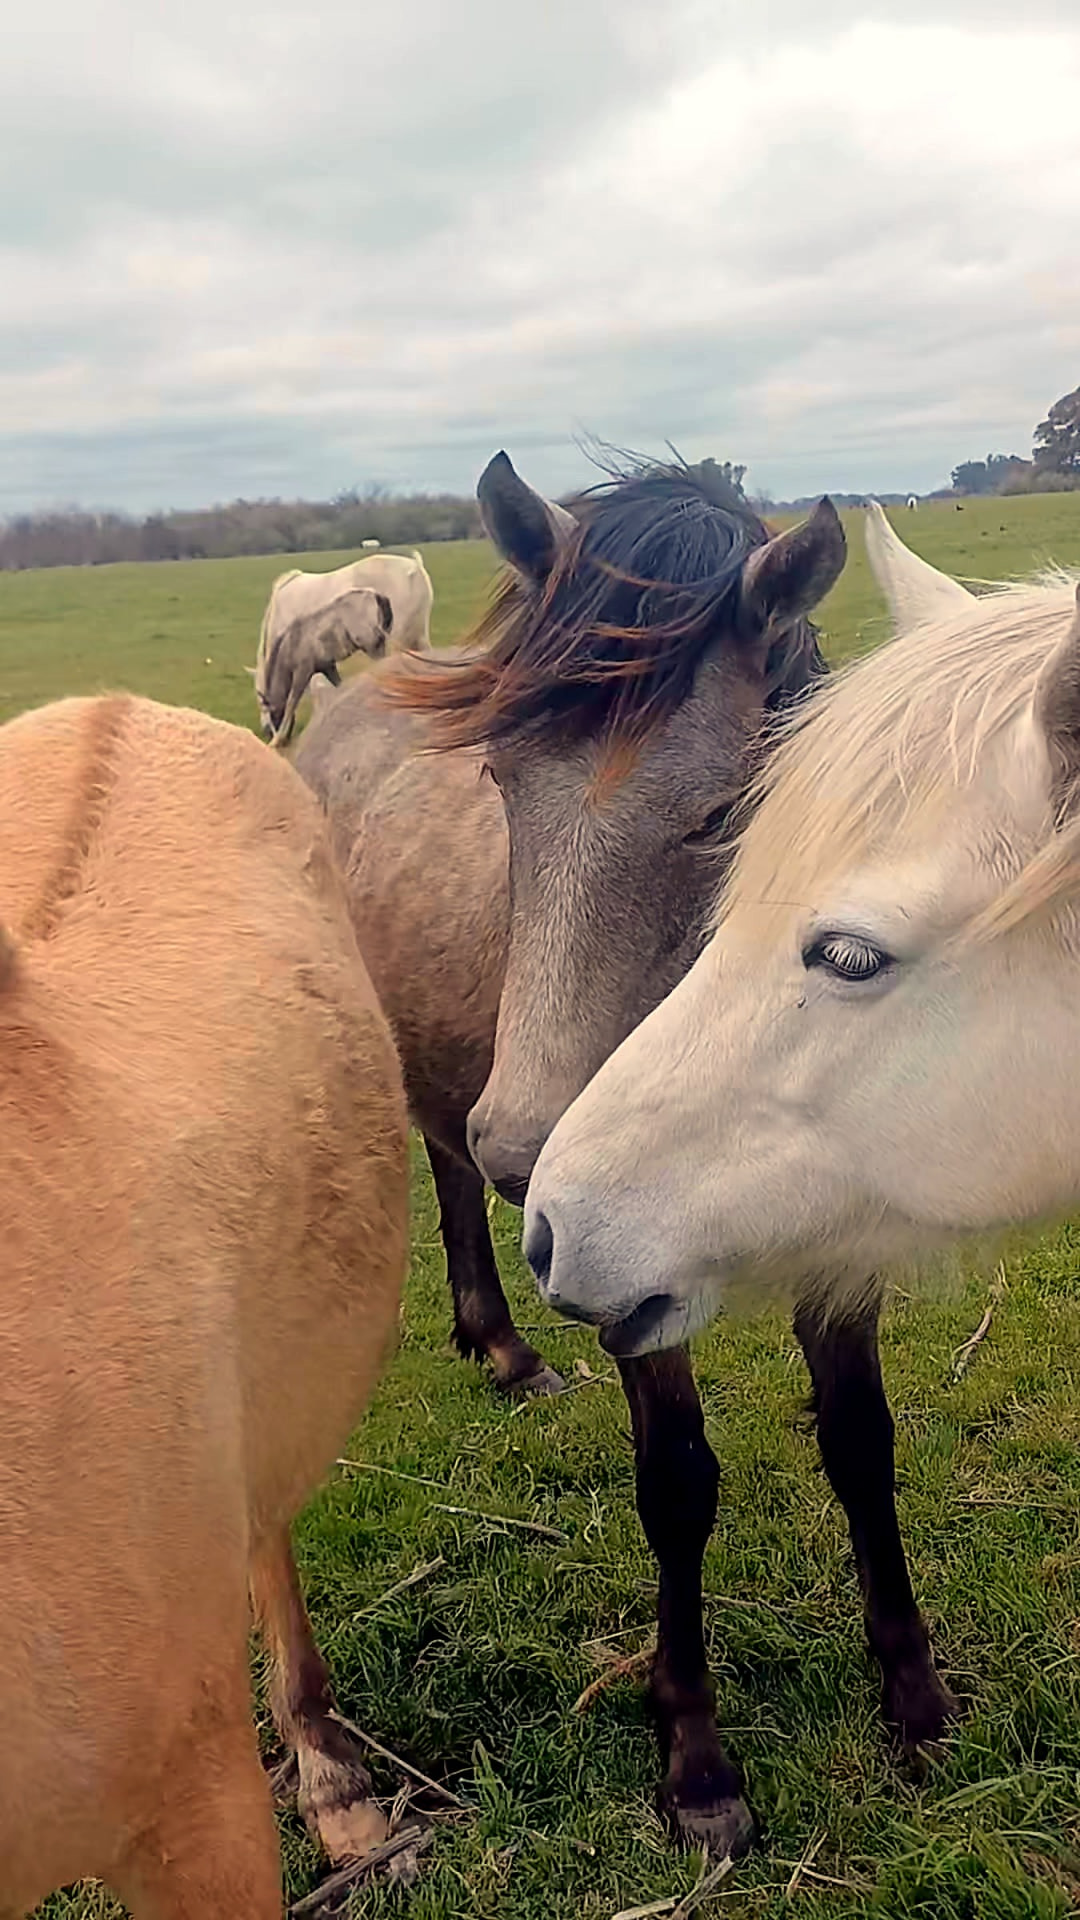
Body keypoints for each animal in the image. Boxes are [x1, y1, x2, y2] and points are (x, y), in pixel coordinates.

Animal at [293, 451, 954, 1856]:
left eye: (719, 818)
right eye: (501, 785)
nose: (533, 1146)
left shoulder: (845, 1241)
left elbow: (861, 1441)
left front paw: (916, 1698)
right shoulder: (623, 1276)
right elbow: (678, 1485)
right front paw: (696, 1762)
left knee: (447, 1162)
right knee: (443, 1167)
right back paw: (498, 1338)